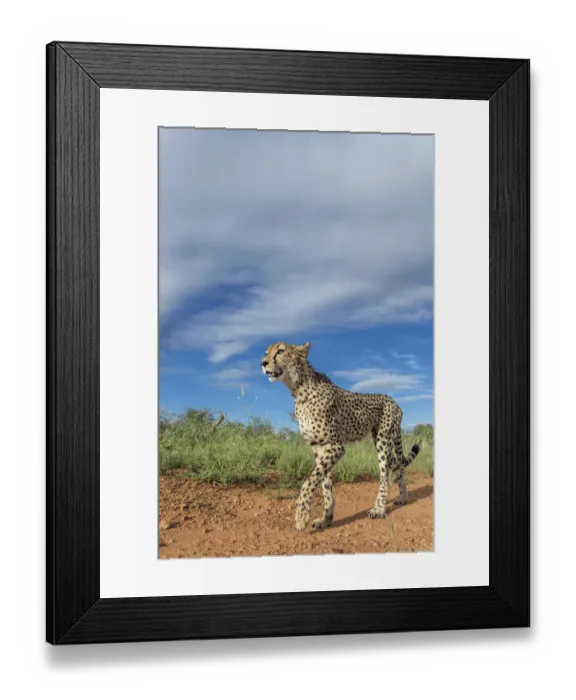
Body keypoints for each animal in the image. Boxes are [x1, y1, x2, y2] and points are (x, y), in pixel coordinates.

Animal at [261, 340, 420, 532]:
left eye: (280, 351)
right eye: (266, 353)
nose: (263, 363)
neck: (299, 389)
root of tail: (394, 401)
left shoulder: (336, 445)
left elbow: (310, 481)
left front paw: (302, 515)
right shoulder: (318, 446)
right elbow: (324, 484)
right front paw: (326, 519)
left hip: (383, 441)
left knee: (384, 475)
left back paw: (379, 509)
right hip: (381, 441)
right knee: (398, 465)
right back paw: (403, 497)